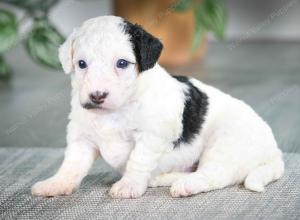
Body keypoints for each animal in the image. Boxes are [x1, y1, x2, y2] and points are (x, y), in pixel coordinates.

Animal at [31, 15, 284, 198]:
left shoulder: (151, 136)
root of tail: (274, 152)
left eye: (122, 63)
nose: (97, 96)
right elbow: (71, 165)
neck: (114, 112)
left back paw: (187, 185)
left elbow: (137, 160)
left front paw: (129, 185)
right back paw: (162, 179)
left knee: (214, 175)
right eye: (81, 64)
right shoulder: (81, 138)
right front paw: (56, 184)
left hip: (224, 143)